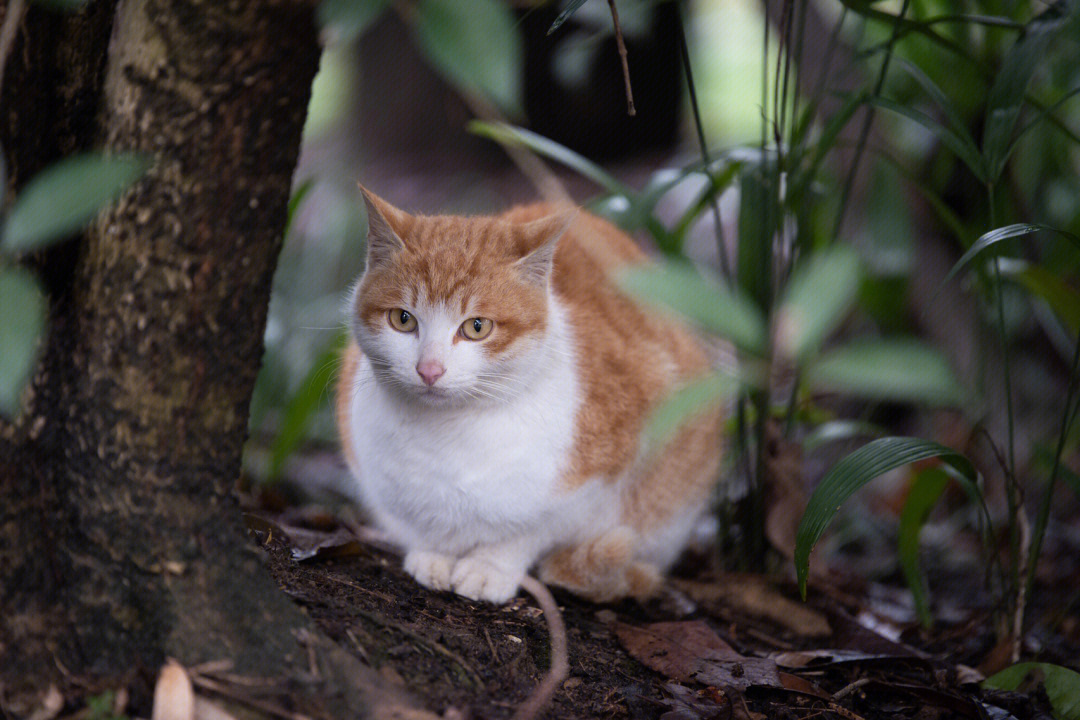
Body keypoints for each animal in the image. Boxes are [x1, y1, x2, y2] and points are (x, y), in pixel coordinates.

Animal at [334, 187, 725, 604]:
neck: (447, 435)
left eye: (477, 327)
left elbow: (528, 533)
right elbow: (422, 528)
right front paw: (432, 556)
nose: (430, 370)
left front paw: (488, 568)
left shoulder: (600, 480)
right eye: (403, 319)